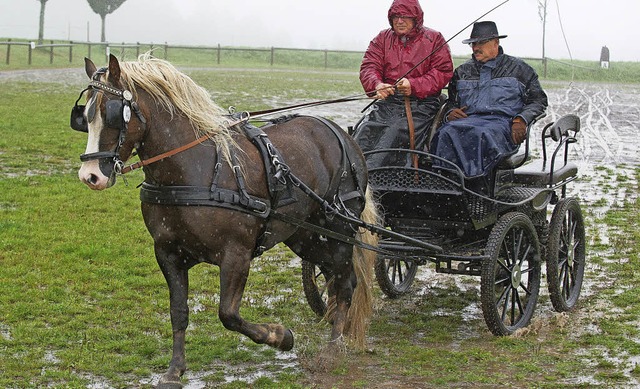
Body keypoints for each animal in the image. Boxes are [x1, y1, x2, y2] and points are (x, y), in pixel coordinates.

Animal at [72, 53, 378, 384]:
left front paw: (280, 336)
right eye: (84, 116)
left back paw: (333, 349)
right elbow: (178, 311)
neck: (197, 170)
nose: (90, 176)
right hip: (306, 235)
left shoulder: (236, 255)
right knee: (333, 277)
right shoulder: (168, 253)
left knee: (346, 282)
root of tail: (340, 133)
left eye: (114, 114)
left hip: (339, 228)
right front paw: (174, 369)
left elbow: (228, 315)